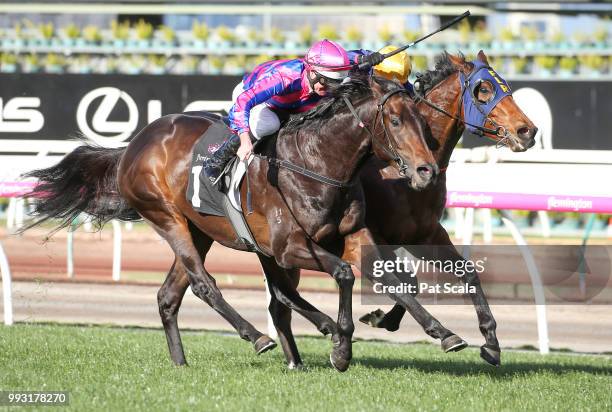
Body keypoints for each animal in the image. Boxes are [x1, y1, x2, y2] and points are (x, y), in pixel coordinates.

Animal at [21, 75, 438, 374]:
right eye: (395, 121)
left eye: (424, 122)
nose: (427, 170)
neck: (316, 163)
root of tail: (135, 143)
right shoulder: (287, 247)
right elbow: (344, 274)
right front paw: (341, 346)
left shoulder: (351, 234)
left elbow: (388, 277)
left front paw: (440, 331)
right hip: (167, 217)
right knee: (205, 284)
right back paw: (257, 336)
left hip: (201, 229)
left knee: (171, 295)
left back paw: (181, 362)